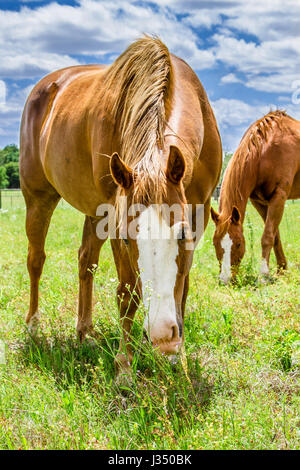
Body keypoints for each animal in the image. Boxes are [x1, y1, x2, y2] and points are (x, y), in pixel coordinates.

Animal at [18, 36, 221, 372]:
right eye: (127, 239)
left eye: (181, 234)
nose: (162, 335)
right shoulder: (115, 218)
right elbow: (127, 293)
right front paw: (125, 365)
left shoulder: (199, 213)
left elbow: (183, 284)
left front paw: (177, 356)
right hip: (38, 197)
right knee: (36, 260)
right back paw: (33, 327)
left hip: (92, 211)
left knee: (85, 261)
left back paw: (85, 332)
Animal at [211, 111, 300, 282]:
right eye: (214, 243)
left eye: (239, 244)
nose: (225, 279)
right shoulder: (259, 202)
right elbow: (275, 237)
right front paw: (282, 269)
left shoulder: (279, 197)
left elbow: (267, 237)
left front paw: (264, 275)